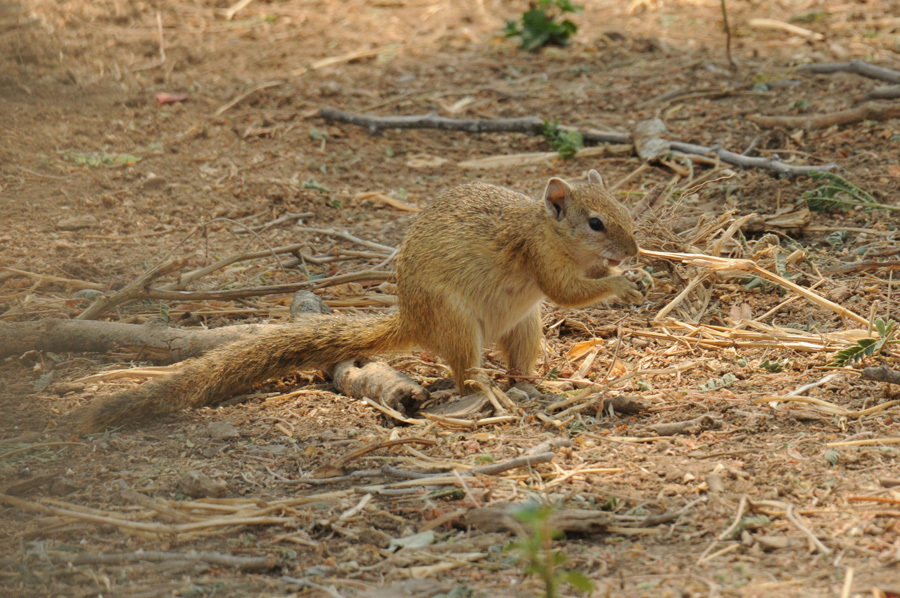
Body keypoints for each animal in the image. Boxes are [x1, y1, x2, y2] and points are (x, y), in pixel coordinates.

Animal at [77, 171, 640, 434]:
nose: (633, 250)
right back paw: (486, 391)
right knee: (464, 375)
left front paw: (637, 273)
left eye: (625, 209)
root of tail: (413, 319)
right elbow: (567, 290)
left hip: (525, 325)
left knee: (517, 362)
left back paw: (539, 383)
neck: (544, 229)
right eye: (595, 223)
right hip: (458, 324)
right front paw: (622, 284)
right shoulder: (540, 258)